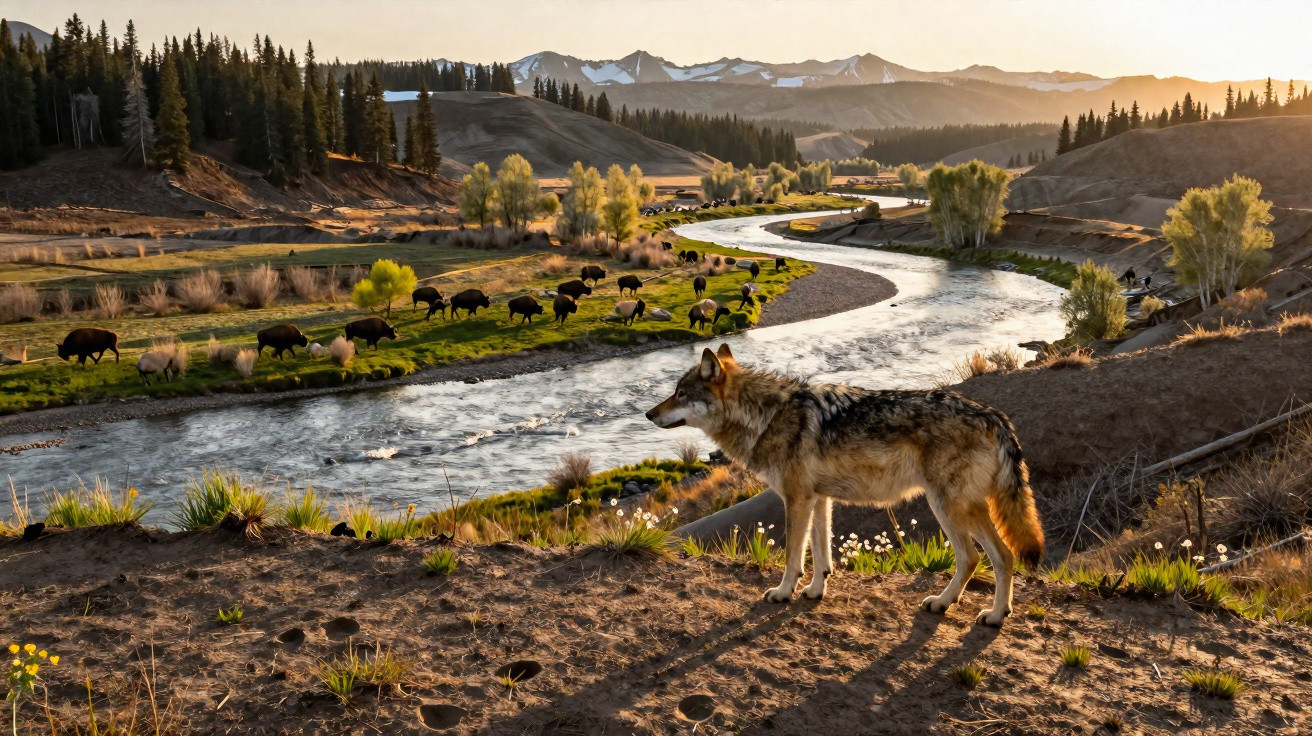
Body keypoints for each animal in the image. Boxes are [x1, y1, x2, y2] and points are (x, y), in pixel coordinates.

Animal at [646, 344, 1044, 626]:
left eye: (680, 394)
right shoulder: (819, 499)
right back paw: (993, 614)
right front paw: (814, 591)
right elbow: (822, 555)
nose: (649, 414)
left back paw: (963, 608)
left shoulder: (796, 499)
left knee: (979, 557)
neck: (766, 415)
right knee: (1000, 557)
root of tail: (994, 415)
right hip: (961, 507)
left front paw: (783, 593)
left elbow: (793, 556)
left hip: (947, 506)